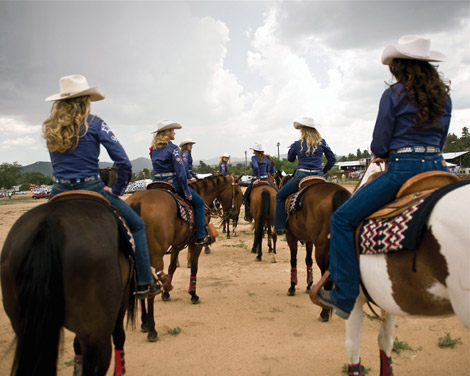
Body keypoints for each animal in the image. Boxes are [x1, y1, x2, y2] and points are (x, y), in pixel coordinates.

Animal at [125, 175, 235, 342]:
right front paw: (193, 294)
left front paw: (166, 293)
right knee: (151, 289)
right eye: (236, 191)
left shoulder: (177, 245)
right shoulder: (195, 243)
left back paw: (144, 322)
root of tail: (136, 203)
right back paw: (152, 329)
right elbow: (194, 268)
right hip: (155, 256)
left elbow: (172, 267)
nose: (233, 212)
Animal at [280, 173, 350, 320]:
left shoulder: (291, 237)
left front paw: (292, 286)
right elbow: (308, 260)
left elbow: (293, 260)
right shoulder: (309, 241)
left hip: (322, 247)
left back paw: (324, 311)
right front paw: (308, 284)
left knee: (326, 272)